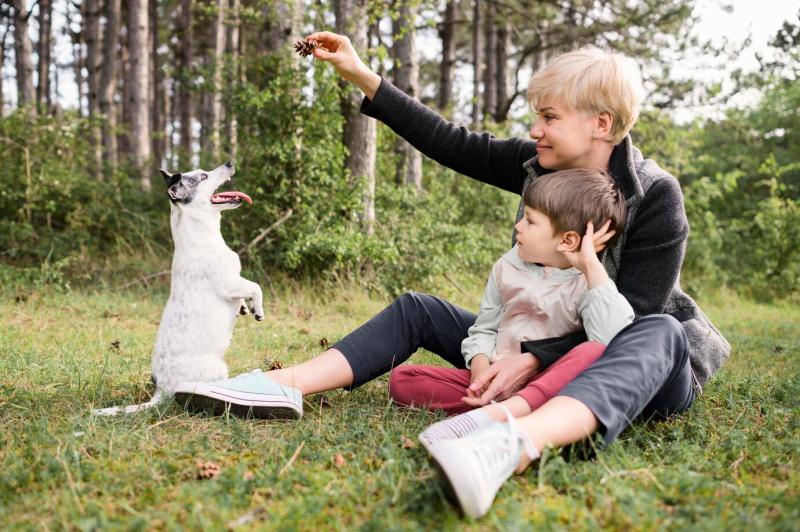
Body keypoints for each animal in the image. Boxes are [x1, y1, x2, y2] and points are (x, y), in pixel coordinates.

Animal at [93, 160, 262, 418]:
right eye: (203, 176)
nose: (230, 162)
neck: (203, 235)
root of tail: (162, 389)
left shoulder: (235, 282)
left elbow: (247, 293)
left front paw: (246, 307)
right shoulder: (229, 282)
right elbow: (255, 287)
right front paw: (259, 309)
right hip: (217, 368)